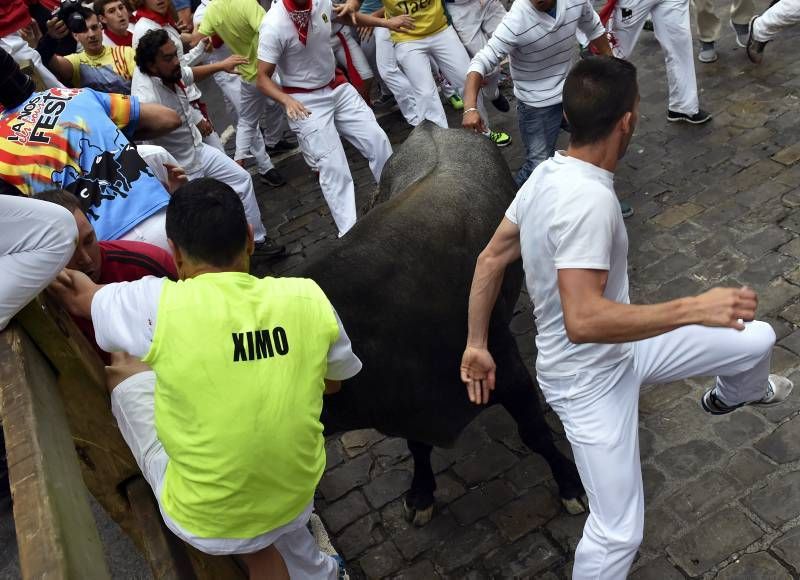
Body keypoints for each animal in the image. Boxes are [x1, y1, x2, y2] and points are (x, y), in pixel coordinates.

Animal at [290, 122, 584, 524]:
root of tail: (432, 128)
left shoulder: (507, 368)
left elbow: (535, 433)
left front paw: (571, 486)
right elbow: (417, 447)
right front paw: (421, 493)